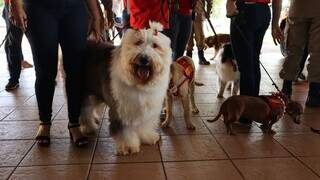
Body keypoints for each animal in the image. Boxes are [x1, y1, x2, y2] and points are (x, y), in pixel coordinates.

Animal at [80, 22, 172, 155]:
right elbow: (124, 130)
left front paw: (147, 137)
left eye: (155, 45)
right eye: (138, 42)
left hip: (95, 91)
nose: (144, 59)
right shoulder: (121, 110)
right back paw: (89, 127)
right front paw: (128, 146)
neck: (139, 85)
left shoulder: (146, 109)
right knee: (84, 110)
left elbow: (144, 125)